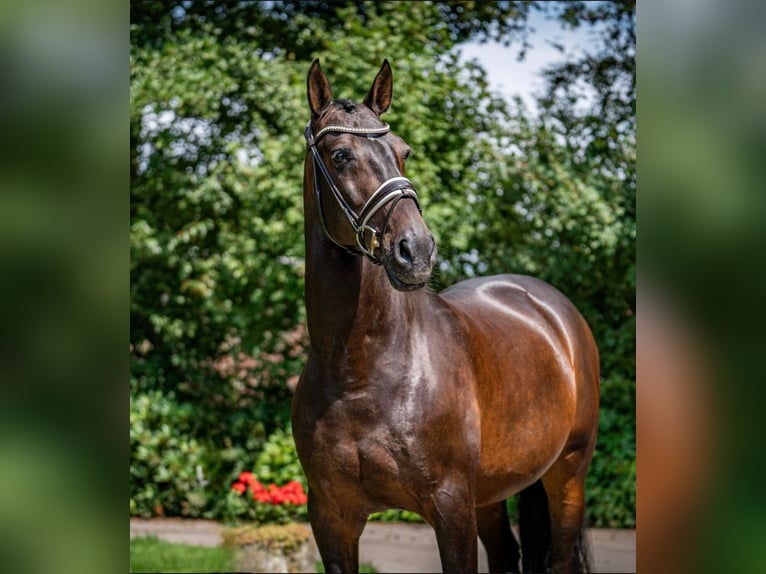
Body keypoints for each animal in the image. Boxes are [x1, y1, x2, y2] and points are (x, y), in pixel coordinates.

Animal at [292, 60, 604, 572]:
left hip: (568, 475)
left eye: (403, 151)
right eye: (340, 155)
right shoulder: (332, 520)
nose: (416, 250)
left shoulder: (451, 507)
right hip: (492, 492)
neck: (359, 370)